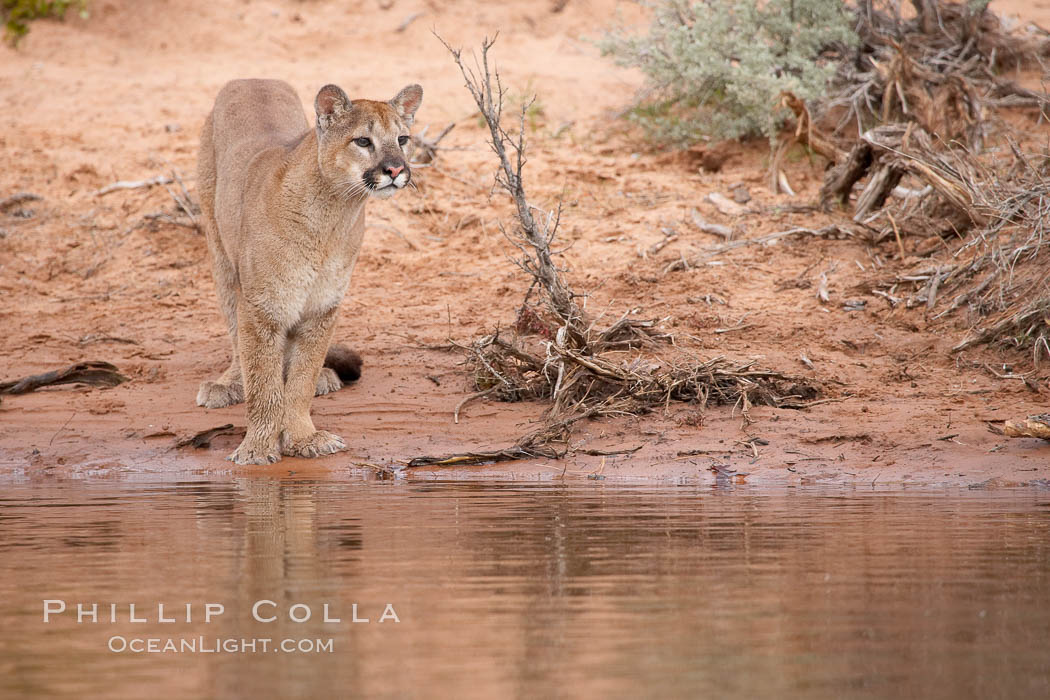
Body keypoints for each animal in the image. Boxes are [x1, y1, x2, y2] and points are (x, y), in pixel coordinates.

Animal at [195, 78, 422, 465]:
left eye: (402, 139)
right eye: (363, 141)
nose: (395, 169)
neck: (334, 213)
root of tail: (251, 79)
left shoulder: (322, 308)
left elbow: (301, 379)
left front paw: (303, 437)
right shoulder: (262, 307)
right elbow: (263, 383)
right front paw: (257, 448)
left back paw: (323, 378)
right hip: (222, 258)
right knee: (236, 336)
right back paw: (226, 384)